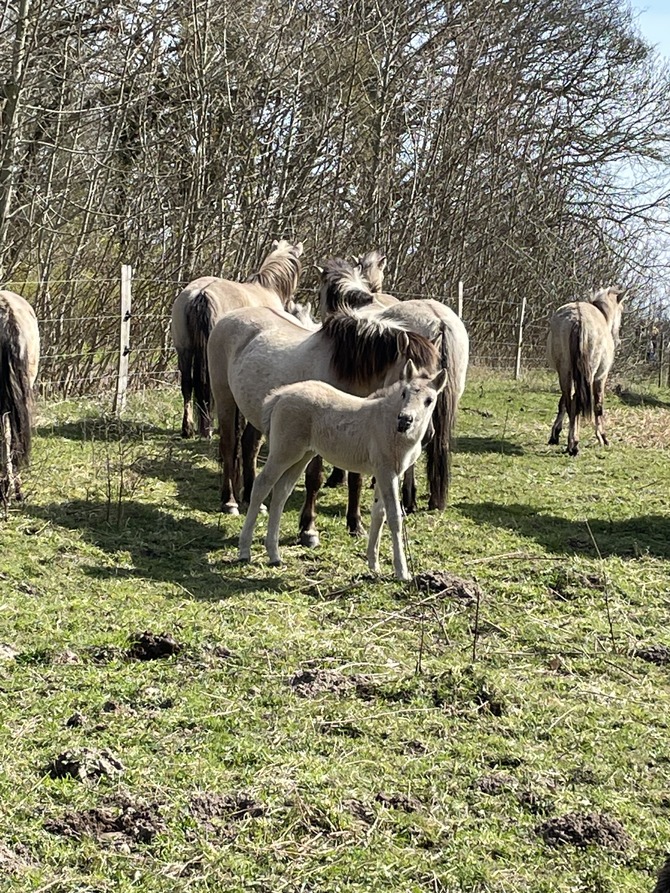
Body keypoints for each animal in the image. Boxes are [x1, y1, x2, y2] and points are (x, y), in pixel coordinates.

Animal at [171, 239, 304, 438]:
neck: (267, 289)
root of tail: (200, 293)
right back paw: (208, 428)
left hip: (184, 349)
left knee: (187, 384)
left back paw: (188, 428)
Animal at [239, 358, 448, 580]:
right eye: (404, 394)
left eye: (429, 400)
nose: (404, 420)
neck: (389, 426)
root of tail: (279, 396)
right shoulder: (386, 472)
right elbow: (394, 516)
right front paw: (402, 571)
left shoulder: (387, 473)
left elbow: (378, 513)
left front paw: (373, 564)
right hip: (284, 452)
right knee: (262, 485)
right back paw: (244, 551)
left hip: (302, 455)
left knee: (281, 492)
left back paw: (274, 555)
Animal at [548, 284, 628, 452]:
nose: (617, 340)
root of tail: (578, 319)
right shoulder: (601, 377)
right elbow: (598, 405)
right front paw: (603, 438)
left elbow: (563, 403)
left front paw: (555, 434)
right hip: (588, 375)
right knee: (577, 401)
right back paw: (574, 444)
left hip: (565, 372)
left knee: (569, 400)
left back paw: (570, 442)